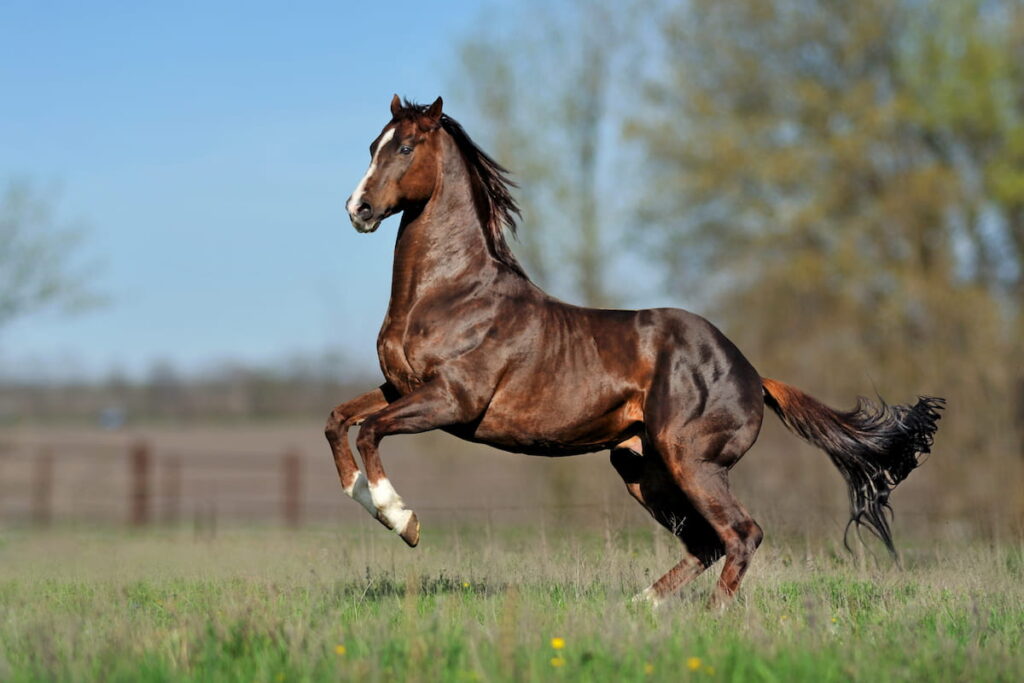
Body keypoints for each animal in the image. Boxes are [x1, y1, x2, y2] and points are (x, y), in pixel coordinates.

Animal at [327, 94, 942, 602]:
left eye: (406, 146)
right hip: (641, 467)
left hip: (691, 461)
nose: (357, 210)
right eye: (373, 146)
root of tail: (753, 374)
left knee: (742, 535)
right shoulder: (400, 387)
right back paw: (640, 607)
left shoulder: (453, 401)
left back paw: (712, 621)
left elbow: (371, 430)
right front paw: (366, 498)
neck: (452, 293)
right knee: (706, 544)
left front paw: (402, 520)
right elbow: (340, 420)